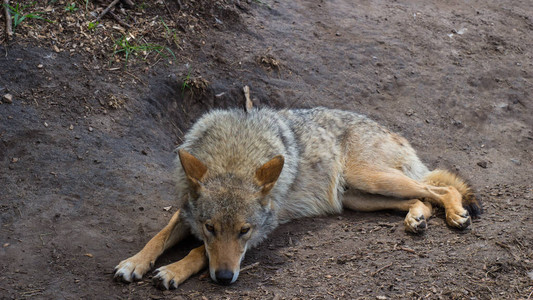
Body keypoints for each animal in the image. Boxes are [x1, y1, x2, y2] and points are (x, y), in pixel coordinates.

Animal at [113, 106, 482, 290]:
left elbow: (196, 252)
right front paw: (134, 263)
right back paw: (416, 218)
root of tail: (392, 132)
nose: (224, 279)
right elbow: (158, 238)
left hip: (369, 179)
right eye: (210, 228)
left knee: (441, 188)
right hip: (356, 197)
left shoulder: (263, 229)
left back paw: (456, 214)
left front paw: (173, 270)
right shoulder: (186, 211)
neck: (234, 156)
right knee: (423, 199)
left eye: (244, 231)